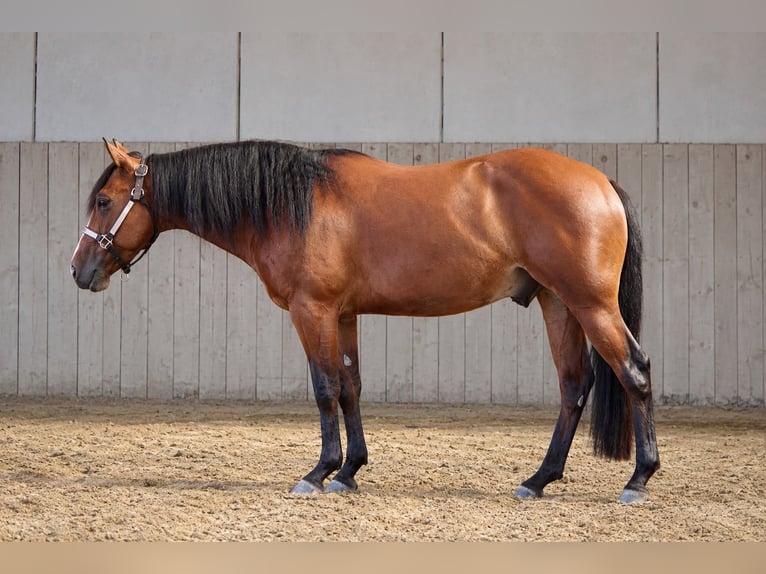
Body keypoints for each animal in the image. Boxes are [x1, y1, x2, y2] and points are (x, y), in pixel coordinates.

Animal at [70, 139, 659, 503]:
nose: (79, 271)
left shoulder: (313, 311)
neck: (293, 205)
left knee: (634, 373)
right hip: (558, 303)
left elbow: (325, 387)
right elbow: (351, 387)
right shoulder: (345, 314)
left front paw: (318, 472)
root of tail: (601, 182)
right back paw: (539, 480)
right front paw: (350, 471)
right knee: (574, 386)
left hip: (591, 304)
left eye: (103, 201)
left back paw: (638, 480)